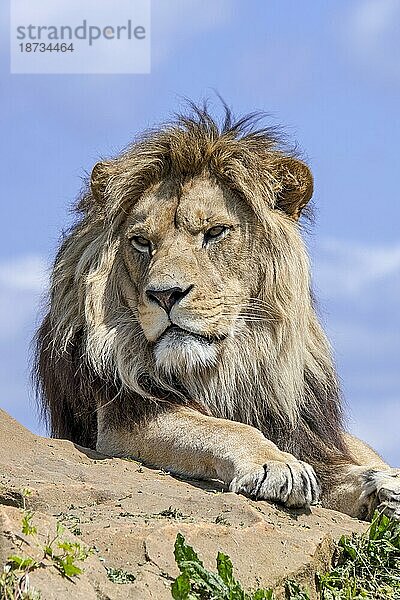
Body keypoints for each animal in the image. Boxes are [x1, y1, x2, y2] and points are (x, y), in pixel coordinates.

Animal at [35, 104, 400, 520]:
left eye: (214, 232)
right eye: (141, 242)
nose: (165, 294)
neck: (225, 369)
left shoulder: (314, 442)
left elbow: (342, 472)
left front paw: (380, 486)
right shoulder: (121, 419)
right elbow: (222, 428)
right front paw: (278, 466)